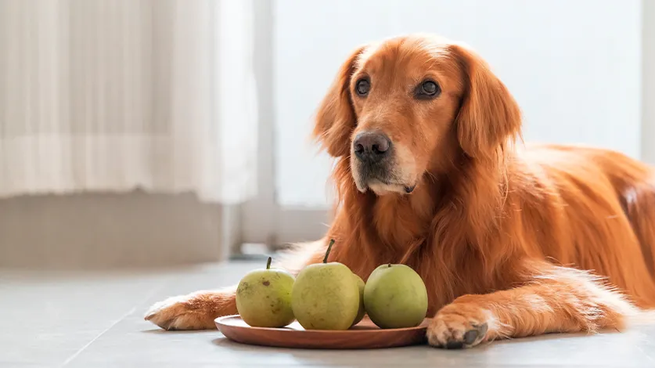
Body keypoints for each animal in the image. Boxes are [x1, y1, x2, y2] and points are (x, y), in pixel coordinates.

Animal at [146, 33, 655, 348]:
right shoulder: (337, 254)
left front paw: (462, 318)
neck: (414, 222)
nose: (367, 146)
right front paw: (190, 301)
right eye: (362, 85)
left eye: (429, 88)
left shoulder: (581, 290)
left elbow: (510, 295)